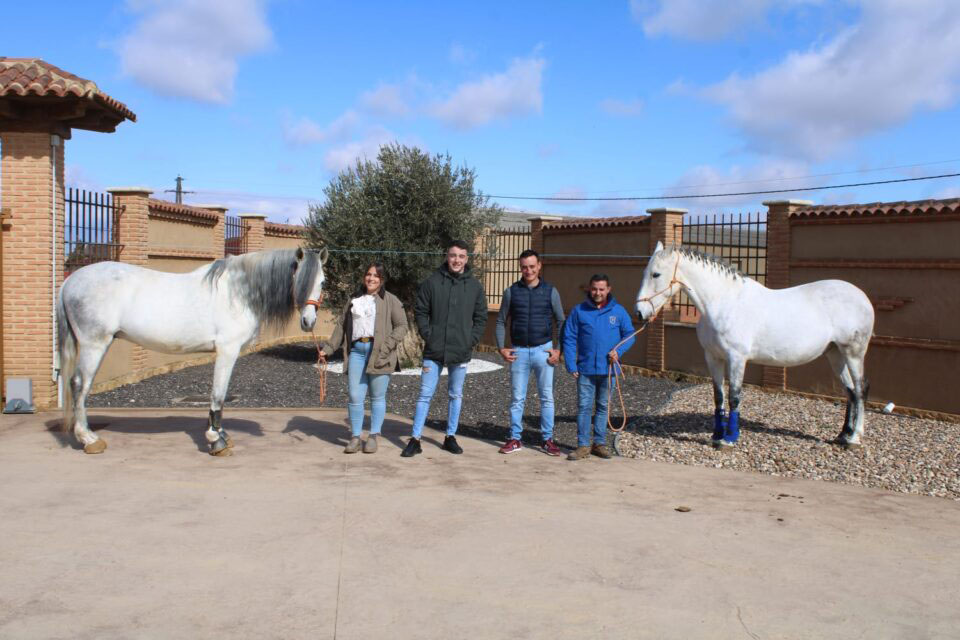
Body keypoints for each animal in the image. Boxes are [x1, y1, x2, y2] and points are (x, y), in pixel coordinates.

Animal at [57, 246, 326, 456]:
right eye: (301, 280)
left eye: (322, 282)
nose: (309, 321)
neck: (237, 293)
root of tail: (69, 281)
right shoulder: (227, 351)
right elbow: (218, 394)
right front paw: (216, 440)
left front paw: (221, 435)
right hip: (94, 344)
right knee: (79, 384)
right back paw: (89, 439)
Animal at [632, 242, 872, 448]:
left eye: (656, 274)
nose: (640, 313)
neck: (723, 301)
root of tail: (862, 297)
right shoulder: (713, 357)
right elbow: (718, 396)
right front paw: (716, 435)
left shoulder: (737, 358)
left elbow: (734, 397)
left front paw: (729, 439)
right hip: (835, 354)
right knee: (850, 392)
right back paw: (843, 435)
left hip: (853, 353)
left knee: (860, 389)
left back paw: (855, 438)